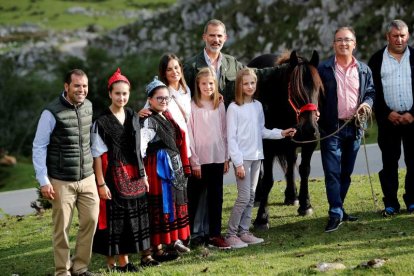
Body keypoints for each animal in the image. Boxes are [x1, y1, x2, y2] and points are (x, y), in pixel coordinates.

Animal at [247, 50, 326, 230]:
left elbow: (304, 169)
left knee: (290, 163)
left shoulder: (310, 143)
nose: (310, 129)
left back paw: (292, 195)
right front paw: (262, 218)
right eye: (295, 90)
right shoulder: (267, 147)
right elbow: (268, 180)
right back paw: (258, 197)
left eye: (318, 89)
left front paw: (305, 204)